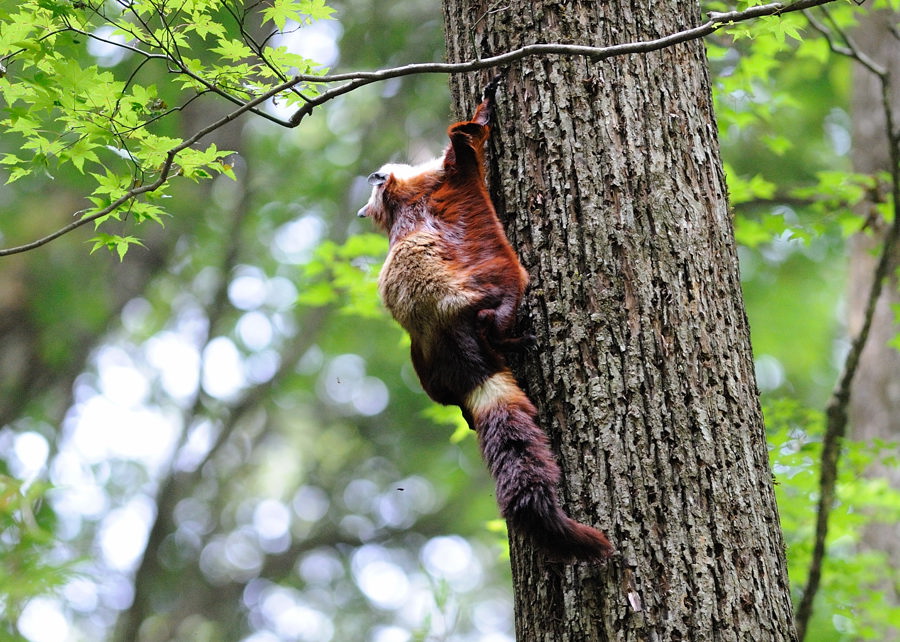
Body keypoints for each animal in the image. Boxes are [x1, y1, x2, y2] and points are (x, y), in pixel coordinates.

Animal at [356, 76, 612, 560]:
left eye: (372, 189)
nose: (371, 175)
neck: (400, 202)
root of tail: (449, 341)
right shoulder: (445, 174)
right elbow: (464, 140)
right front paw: (484, 108)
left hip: (425, 366)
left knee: (442, 393)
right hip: (495, 284)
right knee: (497, 313)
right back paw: (505, 338)